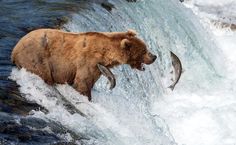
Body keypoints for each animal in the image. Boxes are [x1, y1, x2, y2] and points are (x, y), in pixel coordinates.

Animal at [12, 28, 158, 101]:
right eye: (144, 50)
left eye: (146, 47)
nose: (154, 56)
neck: (105, 53)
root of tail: (14, 50)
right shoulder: (88, 61)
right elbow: (82, 82)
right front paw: (86, 96)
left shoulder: (99, 66)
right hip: (36, 58)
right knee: (44, 75)